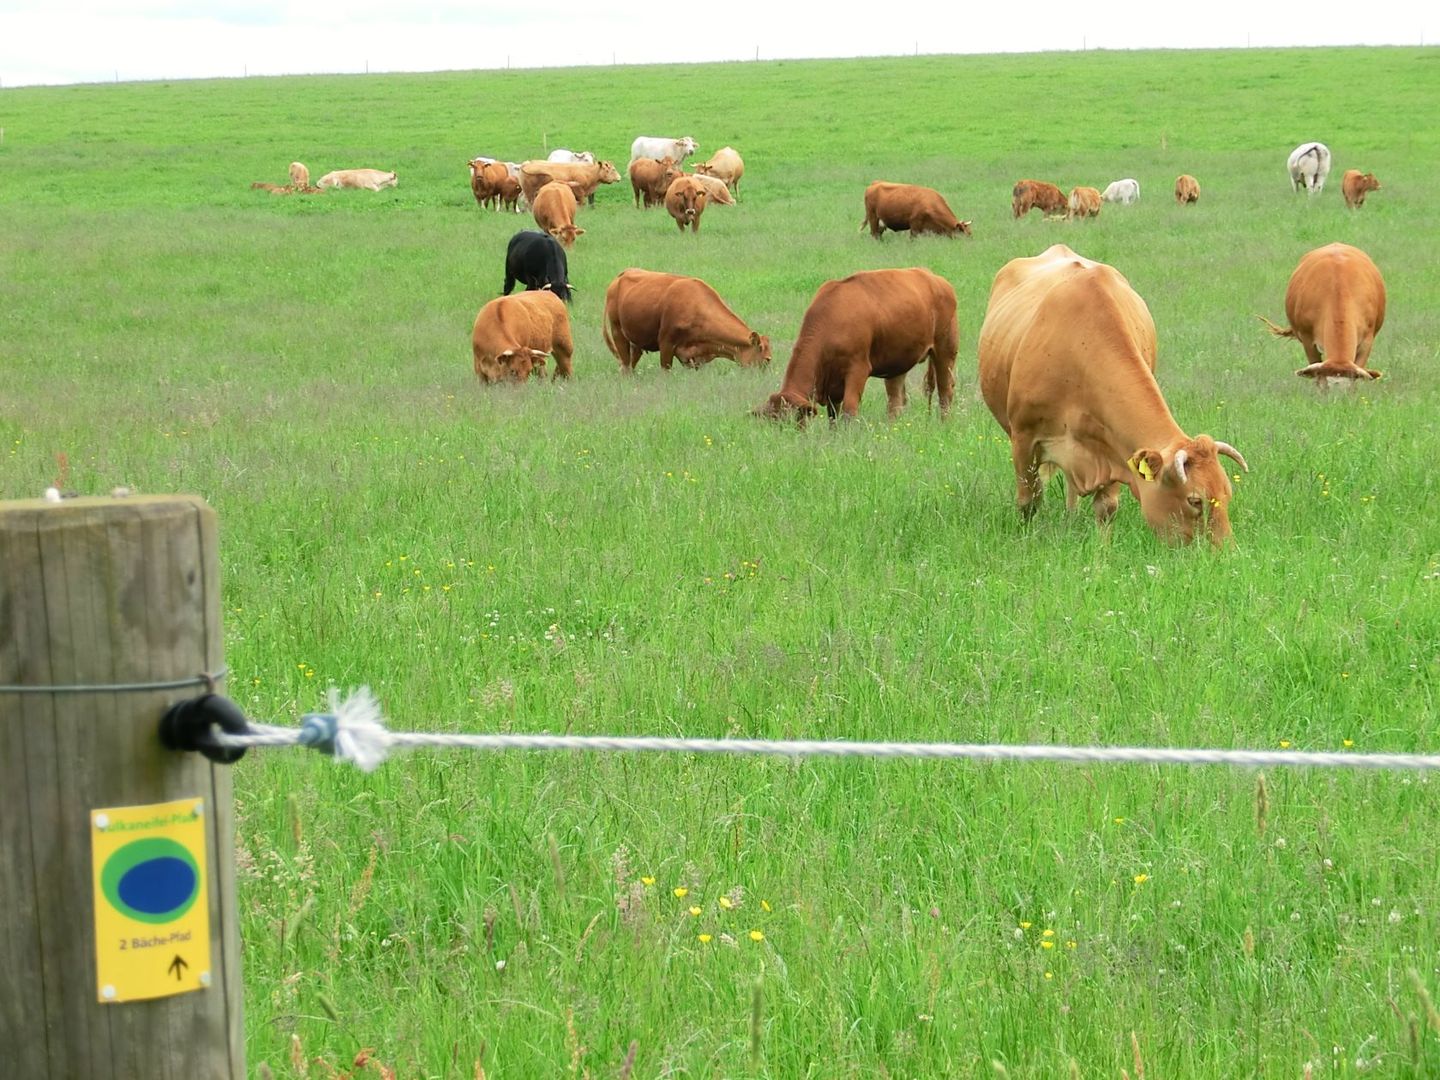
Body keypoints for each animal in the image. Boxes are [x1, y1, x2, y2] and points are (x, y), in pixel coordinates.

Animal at [603, 269, 771, 373]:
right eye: (767, 360)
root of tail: (622, 274)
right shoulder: (666, 343)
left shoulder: (694, 357)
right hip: (617, 331)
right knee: (625, 366)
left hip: (636, 340)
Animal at [754, 268, 957, 423]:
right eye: (772, 422)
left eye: (795, 420)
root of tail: (935, 278)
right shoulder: (832, 385)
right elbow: (833, 417)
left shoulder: (858, 370)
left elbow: (849, 411)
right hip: (898, 363)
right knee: (896, 400)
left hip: (945, 352)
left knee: (945, 392)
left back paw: (944, 423)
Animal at [978, 244, 1247, 545]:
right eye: (1195, 500)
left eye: (1227, 493)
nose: (1224, 550)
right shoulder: (1023, 438)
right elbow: (1028, 501)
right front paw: (1026, 539)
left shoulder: (1112, 447)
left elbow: (1106, 507)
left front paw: (1102, 547)